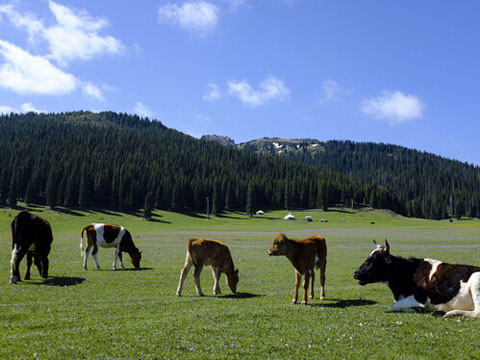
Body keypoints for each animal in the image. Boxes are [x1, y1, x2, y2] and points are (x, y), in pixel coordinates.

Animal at [352, 240, 480, 320]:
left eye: (374, 260)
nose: (355, 274)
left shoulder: (419, 297)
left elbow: (395, 306)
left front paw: (416, 309)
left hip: (475, 283)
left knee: (477, 312)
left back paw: (449, 313)